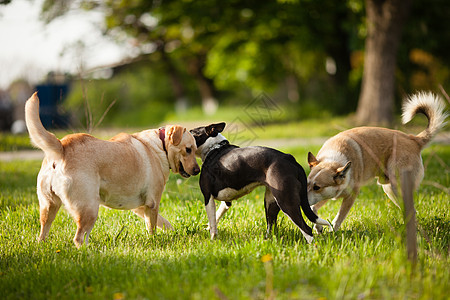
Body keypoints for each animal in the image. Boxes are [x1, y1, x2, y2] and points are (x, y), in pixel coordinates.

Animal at [25, 93, 199, 246]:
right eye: (188, 149)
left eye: (195, 150)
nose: (197, 170)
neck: (160, 146)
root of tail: (62, 147)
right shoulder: (152, 203)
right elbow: (152, 228)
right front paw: (154, 240)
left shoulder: (139, 206)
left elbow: (164, 222)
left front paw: (172, 230)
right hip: (89, 207)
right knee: (79, 238)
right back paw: (90, 252)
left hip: (49, 206)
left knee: (43, 233)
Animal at [190, 123, 330, 243]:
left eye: (191, 132)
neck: (214, 148)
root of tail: (290, 159)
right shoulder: (226, 201)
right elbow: (216, 216)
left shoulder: (208, 197)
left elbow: (213, 222)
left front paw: (212, 240)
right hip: (270, 202)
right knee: (271, 226)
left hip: (286, 202)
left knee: (307, 229)